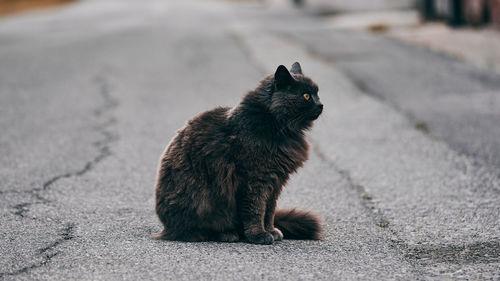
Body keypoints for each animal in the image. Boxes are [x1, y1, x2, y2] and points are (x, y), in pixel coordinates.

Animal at [154, 61, 322, 243]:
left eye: (317, 94)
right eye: (306, 96)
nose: (321, 105)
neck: (278, 127)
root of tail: (166, 227)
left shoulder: (275, 183)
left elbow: (269, 211)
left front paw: (271, 231)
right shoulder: (256, 180)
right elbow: (256, 210)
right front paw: (259, 235)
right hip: (202, 204)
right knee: (196, 231)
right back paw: (228, 234)